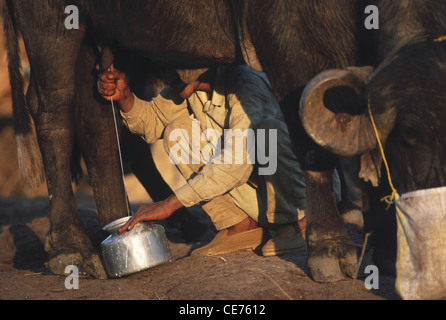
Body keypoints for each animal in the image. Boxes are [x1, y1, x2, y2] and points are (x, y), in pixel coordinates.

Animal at [6, 0, 372, 282]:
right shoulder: (287, 35)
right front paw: (330, 249)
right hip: (51, 21)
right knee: (54, 109)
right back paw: (72, 248)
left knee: (99, 119)